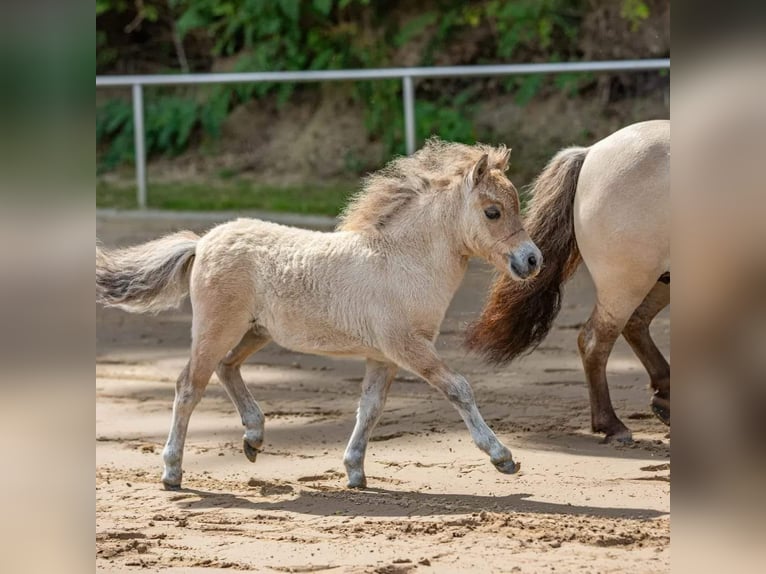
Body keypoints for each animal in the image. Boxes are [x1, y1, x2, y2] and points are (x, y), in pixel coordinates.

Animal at [96, 140, 544, 490]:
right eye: (492, 212)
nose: (532, 260)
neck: (402, 262)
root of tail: (203, 242)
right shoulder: (407, 347)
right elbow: (458, 388)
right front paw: (502, 457)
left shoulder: (383, 356)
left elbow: (370, 407)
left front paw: (355, 471)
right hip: (215, 329)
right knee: (189, 386)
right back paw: (172, 471)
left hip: (256, 331)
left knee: (227, 368)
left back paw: (254, 437)